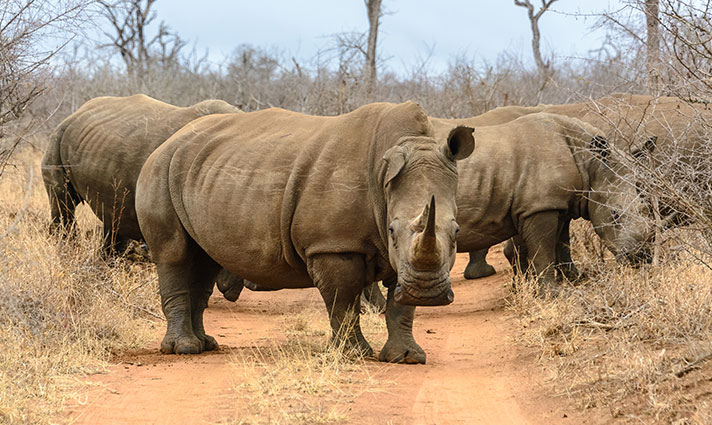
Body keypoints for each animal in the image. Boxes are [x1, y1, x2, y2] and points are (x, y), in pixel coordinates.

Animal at [41, 94, 245, 301]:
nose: (232, 292)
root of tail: (75, 113)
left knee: (113, 219)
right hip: (57, 138)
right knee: (64, 205)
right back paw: (67, 261)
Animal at [134, 101, 474, 363]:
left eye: (457, 231)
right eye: (392, 230)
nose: (427, 293)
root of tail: (166, 142)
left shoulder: (398, 259)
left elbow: (401, 306)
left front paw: (406, 357)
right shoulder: (333, 245)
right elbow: (343, 301)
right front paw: (354, 355)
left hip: (200, 173)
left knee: (204, 258)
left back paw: (206, 345)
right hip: (158, 170)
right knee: (175, 254)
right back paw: (185, 350)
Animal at [430, 112, 653, 289]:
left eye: (647, 209)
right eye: (615, 214)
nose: (641, 257)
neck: (590, 165)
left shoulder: (554, 203)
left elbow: (560, 243)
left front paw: (573, 278)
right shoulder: (539, 206)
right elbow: (543, 249)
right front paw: (551, 292)